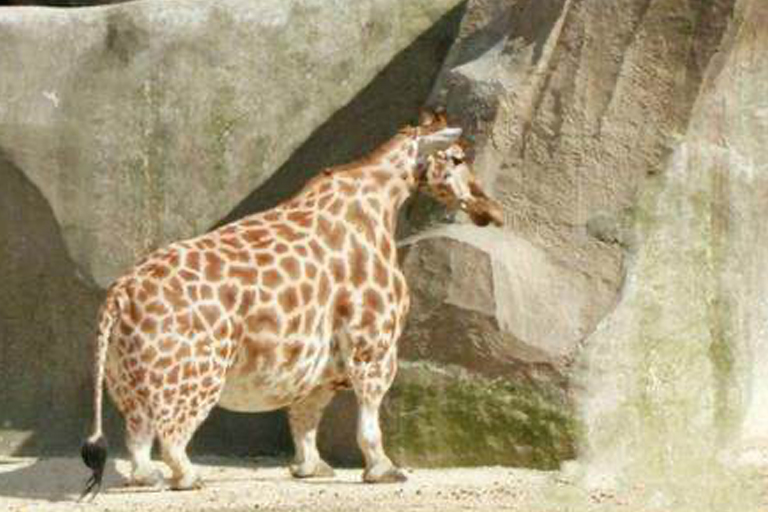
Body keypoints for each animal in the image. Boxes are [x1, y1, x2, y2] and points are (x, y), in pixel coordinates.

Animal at [80, 111, 504, 497]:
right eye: (457, 158)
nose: (492, 210)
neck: (379, 204)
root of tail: (119, 295)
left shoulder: (322, 362)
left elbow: (304, 417)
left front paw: (310, 468)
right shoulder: (373, 345)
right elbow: (368, 422)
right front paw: (384, 471)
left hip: (127, 380)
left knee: (137, 438)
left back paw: (147, 478)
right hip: (194, 375)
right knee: (170, 436)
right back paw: (190, 478)